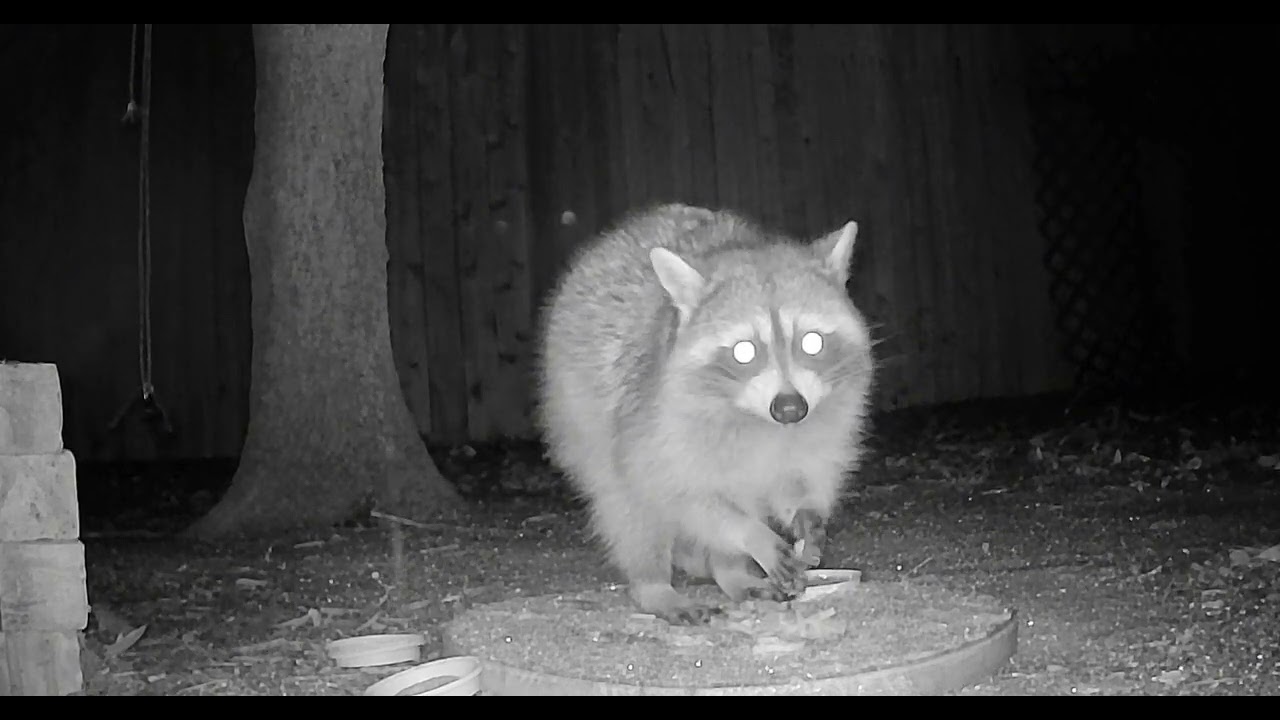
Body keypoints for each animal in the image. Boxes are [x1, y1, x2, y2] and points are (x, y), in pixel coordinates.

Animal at [536, 203, 874, 623]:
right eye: (744, 351)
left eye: (812, 342)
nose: (790, 407)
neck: (759, 420)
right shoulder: (656, 429)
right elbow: (685, 499)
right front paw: (750, 534)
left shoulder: (822, 429)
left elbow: (801, 481)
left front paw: (807, 517)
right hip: (583, 421)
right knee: (630, 509)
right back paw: (655, 586)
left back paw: (730, 573)